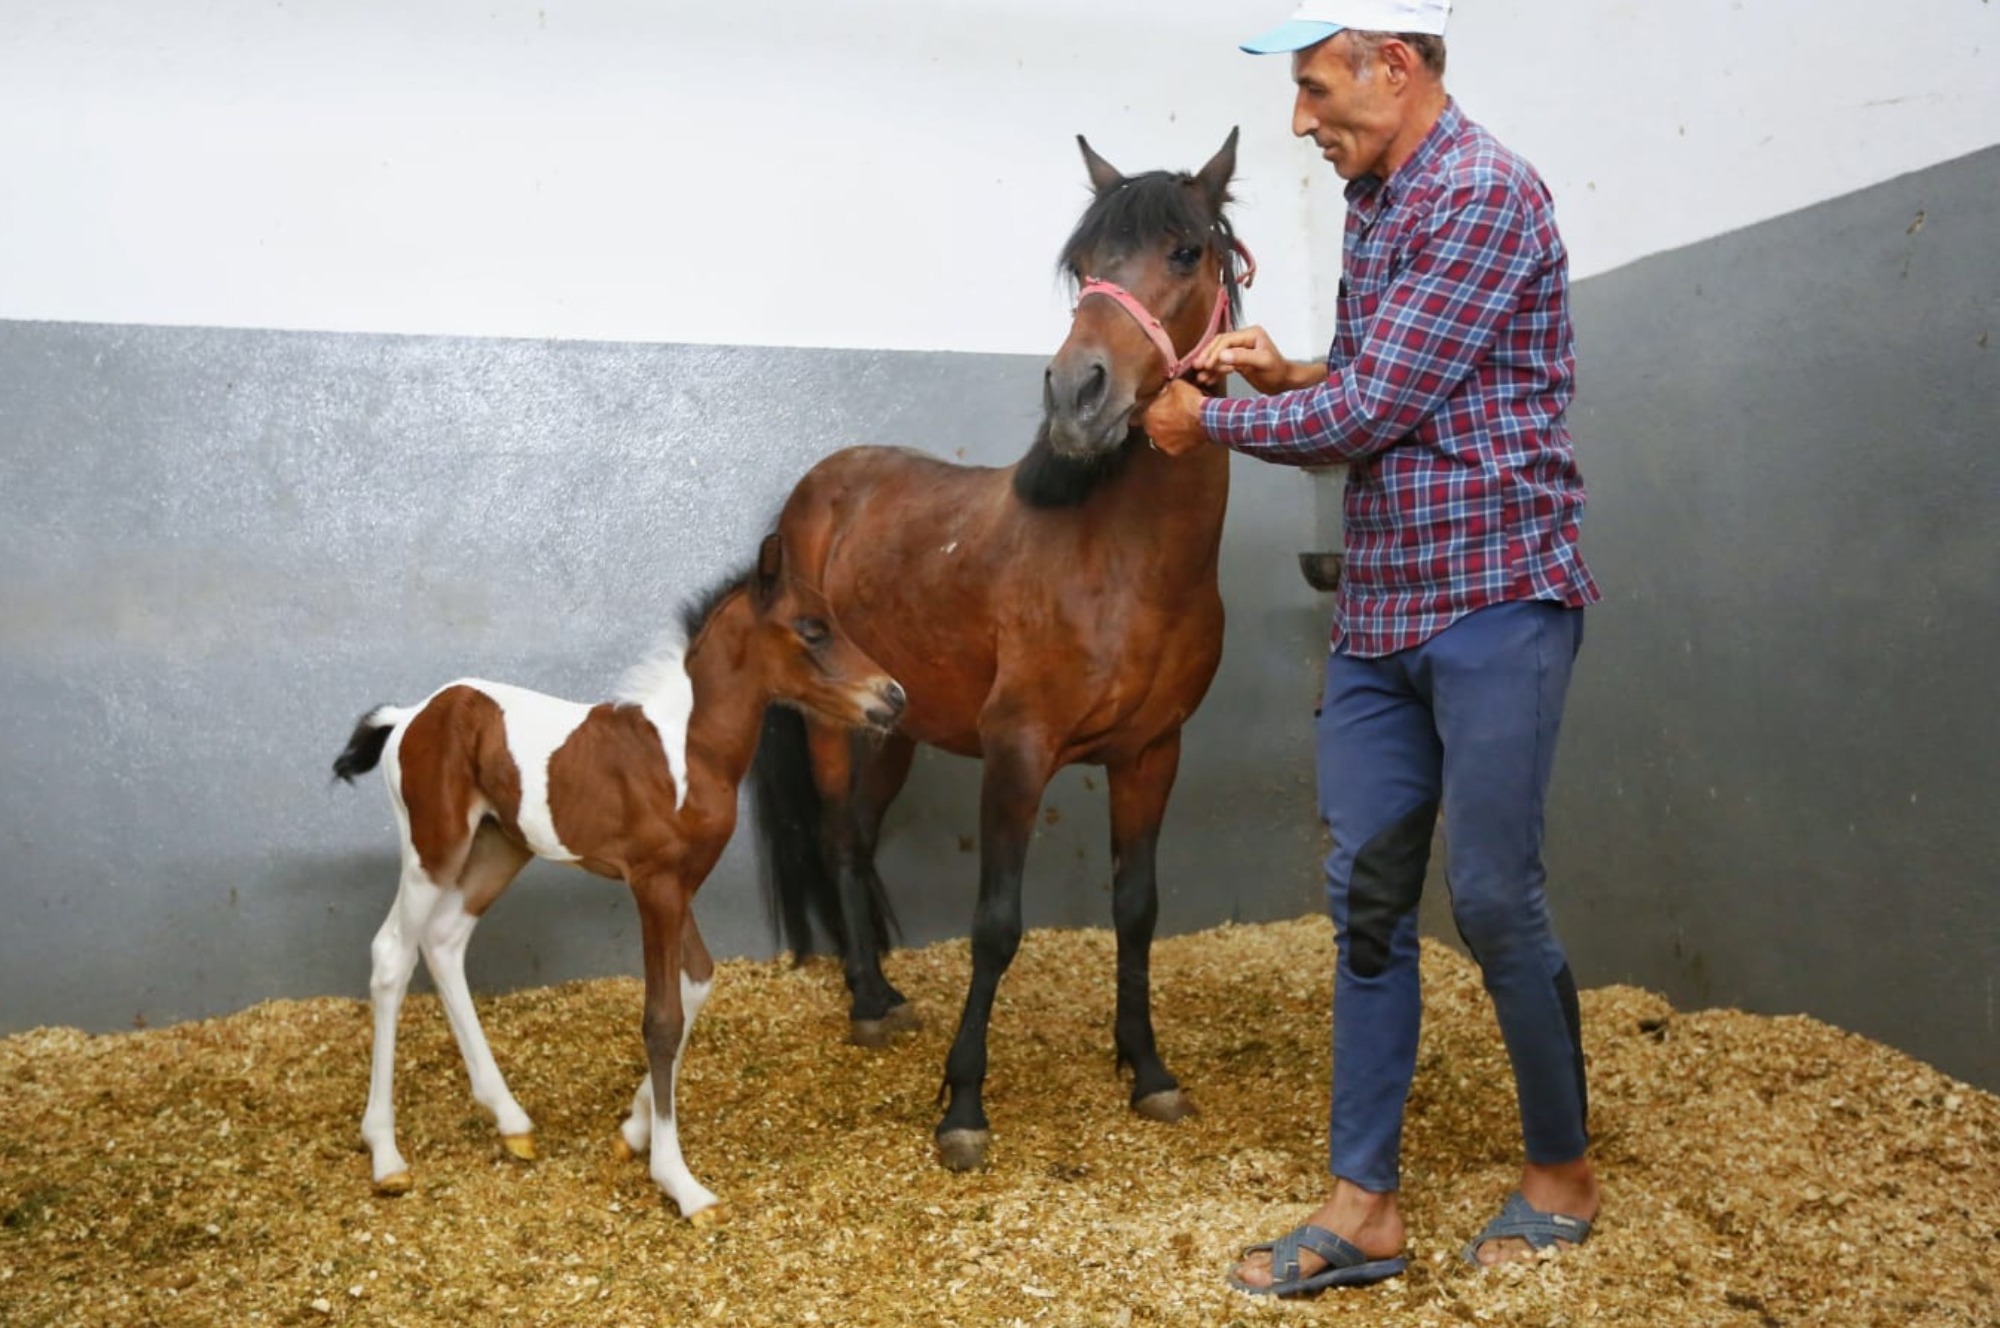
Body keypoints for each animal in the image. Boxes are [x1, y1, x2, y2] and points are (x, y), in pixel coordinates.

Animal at [334, 536, 908, 1216]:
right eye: (813, 629)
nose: (893, 697)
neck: (687, 751)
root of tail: (410, 716)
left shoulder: (682, 883)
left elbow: (697, 983)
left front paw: (633, 1130)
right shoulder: (653, 885)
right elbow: (661, 1019)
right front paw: (679, 1179)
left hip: (499, 847)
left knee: (445, 942)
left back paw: (511, 1121)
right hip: (434, 848)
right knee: (392, 954)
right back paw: (386, 1155)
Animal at [752, 132, 1248, 1176]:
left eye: (1186, 252)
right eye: (1084, 264)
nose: (1077, 392)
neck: (1122, 564)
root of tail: (813, 493)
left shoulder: (1153, 755)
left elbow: (1137, 909)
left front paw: (1148, 1070)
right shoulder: (1018, 755)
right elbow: (995, 926)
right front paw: (964, 1105)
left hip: (896, 731)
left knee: (858, 839)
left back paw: (878, 988)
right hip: (834, 731)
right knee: (836, 835)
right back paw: (867, 1004)